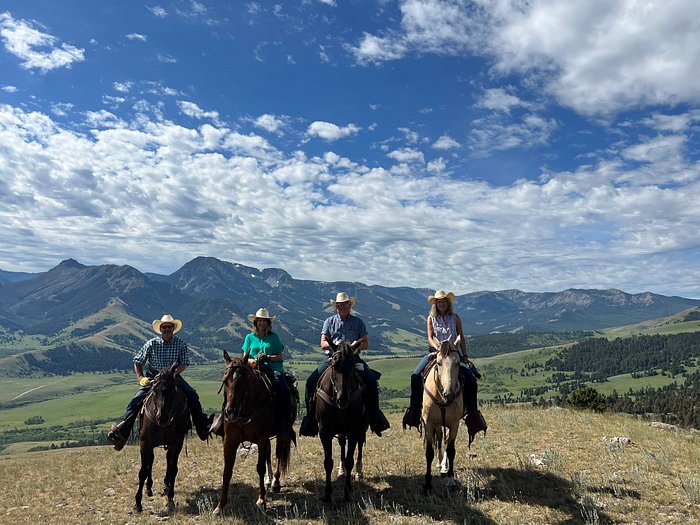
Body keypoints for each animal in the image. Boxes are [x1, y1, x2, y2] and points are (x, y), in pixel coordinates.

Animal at [132, 362, 189, 512]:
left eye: (173, 390)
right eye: (154, 389)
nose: (162, 417)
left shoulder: (177, 443)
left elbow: (173, 470)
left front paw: (170, 500)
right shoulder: (145, 443)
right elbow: (143, 471)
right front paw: (137, 504)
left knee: (168, 462)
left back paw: (166, 486)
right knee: (150, 462)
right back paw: (149, 488)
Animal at [211, 348, 292, 512]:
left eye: (244, 381)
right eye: (225, 381)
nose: (230, 412)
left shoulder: (261, 438)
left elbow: (259, 467)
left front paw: (261, 500)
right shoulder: (229, 441)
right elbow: (227, 471)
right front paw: (220, 506)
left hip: (280, 434)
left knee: (278, 453)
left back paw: (275, 482)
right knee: (268, 453)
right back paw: (268, 481)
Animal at [314, 338, 370, 502]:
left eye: (352, 366)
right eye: (334, 365)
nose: (342, 399)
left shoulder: (354, 429)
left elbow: (350, 459)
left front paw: (347, 493)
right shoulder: (324, 430)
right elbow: (328, 462)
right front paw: (327, 494)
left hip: (361, 428)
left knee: (359, 446)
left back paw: (358, 472)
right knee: (342, 444)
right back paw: (341, 470)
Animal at [422, 336, 464, 492]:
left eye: (458, 363)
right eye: (439, 363)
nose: (449, 394)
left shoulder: (454, 424)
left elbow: (451, 450)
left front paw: (451, 480)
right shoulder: (429, 423)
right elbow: (429, 452)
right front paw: (427, 484)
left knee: (444, 441)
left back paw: (444, 466)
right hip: (437, 424)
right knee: (439, 439)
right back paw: (440, 463)